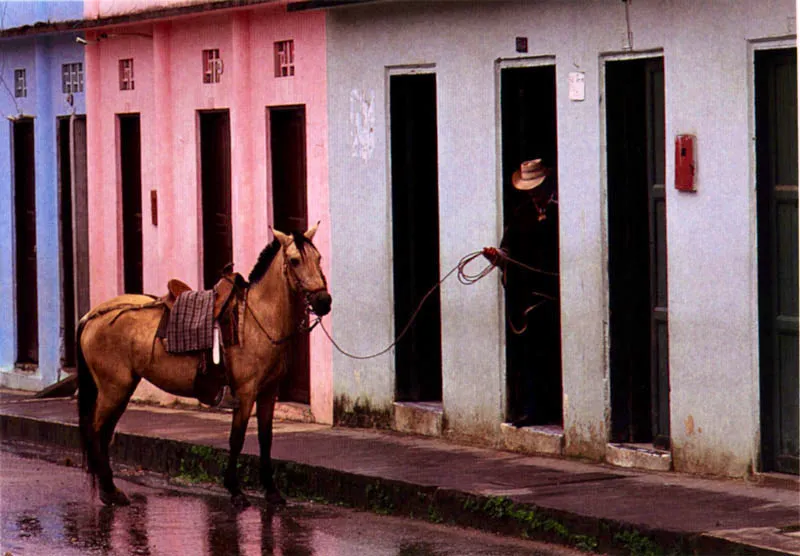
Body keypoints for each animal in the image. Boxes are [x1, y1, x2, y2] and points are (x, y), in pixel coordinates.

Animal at [77, 226, 332, 508]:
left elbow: (266, 440)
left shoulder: (268, 392)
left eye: (319, 258)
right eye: (295, 260)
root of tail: (93, 316)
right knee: (96, 431)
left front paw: (272, 492)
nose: (324, 301)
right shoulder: (246, 393)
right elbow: (237, 439)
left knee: (105, 432)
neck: (257, 319)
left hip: (121, 389)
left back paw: (110, 490)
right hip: (113, 389)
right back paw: (108, 490)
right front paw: (235, 490)